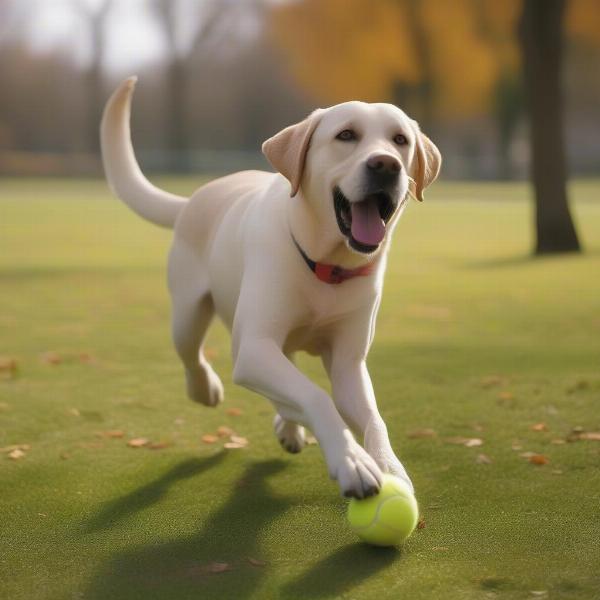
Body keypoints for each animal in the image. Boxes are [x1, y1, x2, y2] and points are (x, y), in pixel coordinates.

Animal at [101, 76, 440, 496]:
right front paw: (352, 461)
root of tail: (193, 199)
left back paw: (289, 426)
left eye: (400, 140)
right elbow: (315, 395)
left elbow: (373, 418)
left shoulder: (348, 363)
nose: (386, 165)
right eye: (346, 135)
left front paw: (391, 468)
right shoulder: (254, 347)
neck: (326, 266)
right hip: (190, 315)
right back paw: (206, 388)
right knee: (192, 355)